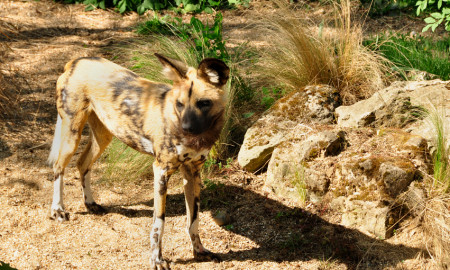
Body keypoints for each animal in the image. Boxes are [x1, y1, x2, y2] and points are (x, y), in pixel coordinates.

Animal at [47, 53, 230, 268]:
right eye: (180, 104)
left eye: (203, 103)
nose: (185, 128)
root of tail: (77, 61)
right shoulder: (161, 171)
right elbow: (159, 223)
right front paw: (157, 259)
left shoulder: (192, 172)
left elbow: (193, 219)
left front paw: (199, 251)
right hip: (72, 135)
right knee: (59, 167)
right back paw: (58, 210)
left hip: (103, 136)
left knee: (82, 163)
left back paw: (90, 204)